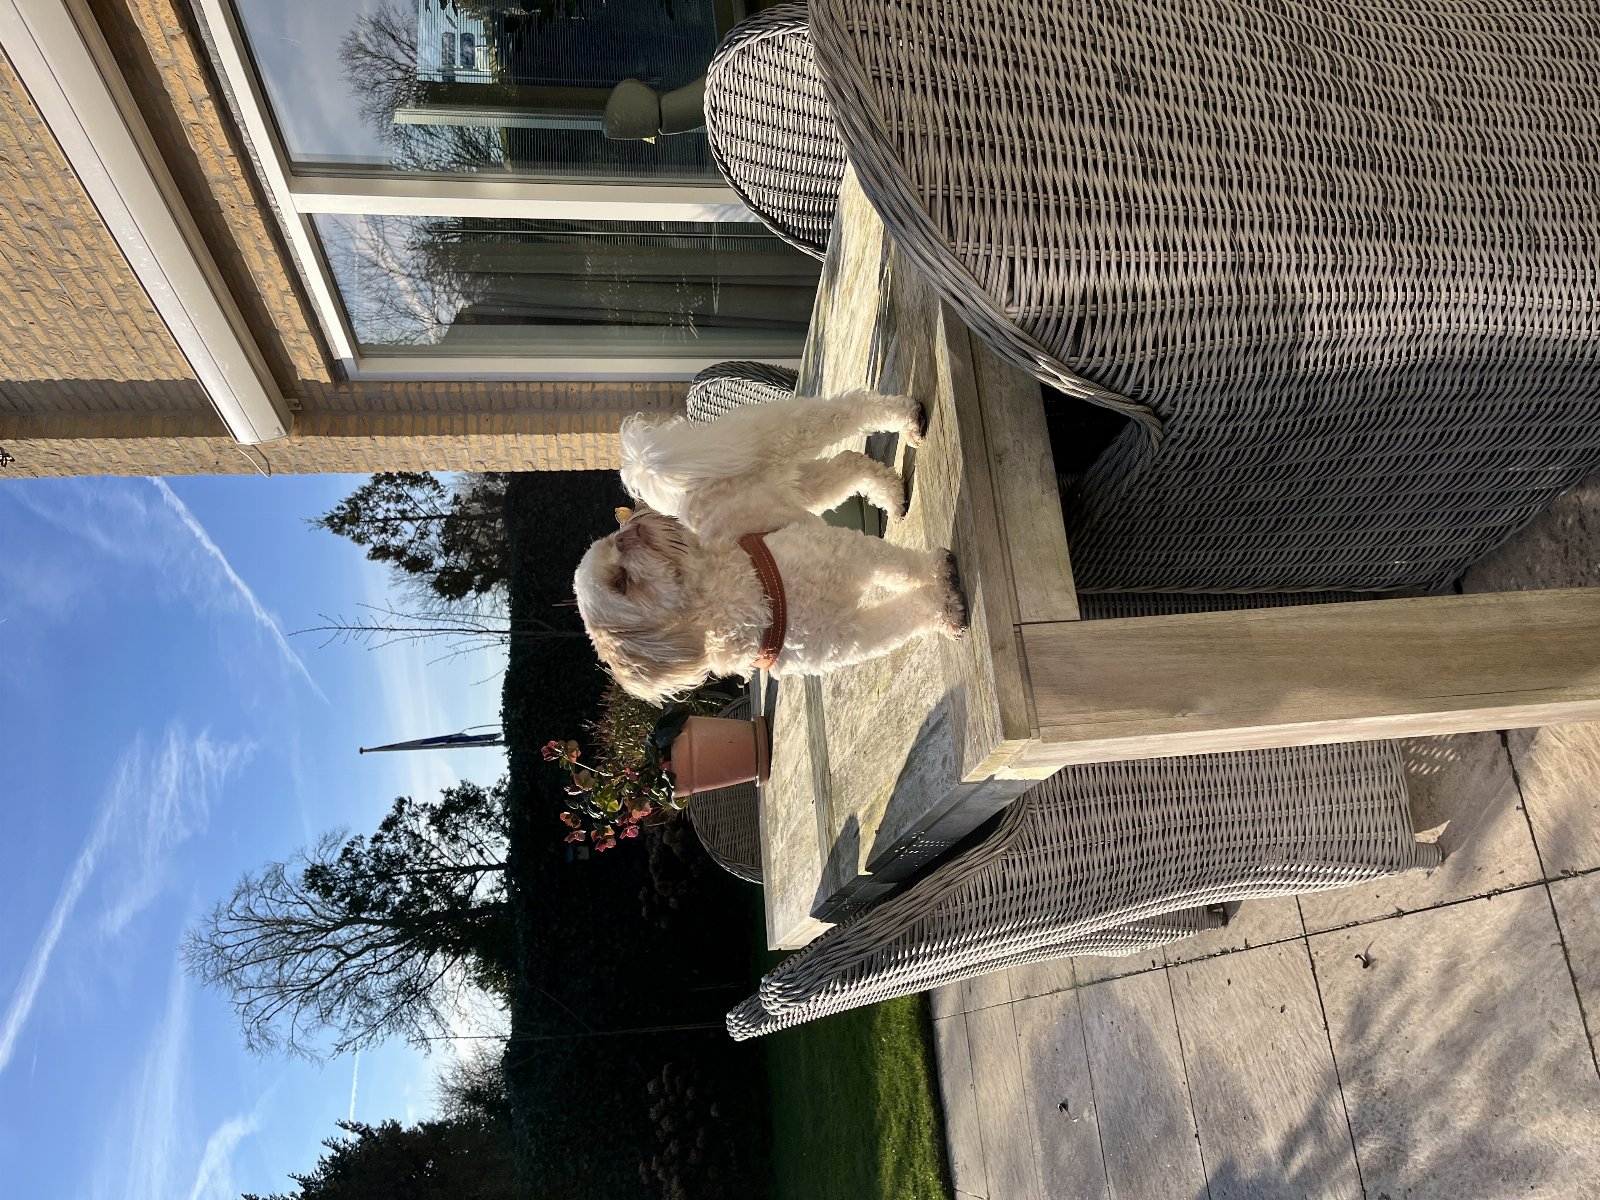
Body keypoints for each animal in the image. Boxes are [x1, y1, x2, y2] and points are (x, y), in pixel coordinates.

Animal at [574, 390, 968, 703]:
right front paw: (945, 608)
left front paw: (939, 575)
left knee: (850, 408)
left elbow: (904, 568)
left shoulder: (851, 552)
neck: (741, 597)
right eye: (622, 582)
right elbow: (905, 615)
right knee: (848, 464)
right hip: (802, 488)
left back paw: (907, 416)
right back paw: (891, 494)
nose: (629, 533)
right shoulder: (851, 633)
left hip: (780, 435)